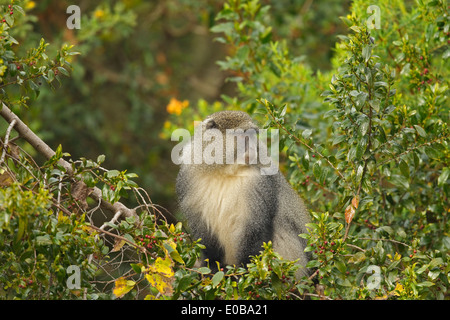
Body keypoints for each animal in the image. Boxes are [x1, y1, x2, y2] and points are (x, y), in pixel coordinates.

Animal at [175, 110, 310, 278]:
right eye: (242, 136)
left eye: (252, 135)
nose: (252, 148)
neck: (223, 171)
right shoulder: (188, 177)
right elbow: (202, 229)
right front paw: (211, 265)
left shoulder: (258, 182)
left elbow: (254, 230)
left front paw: (246, 273)